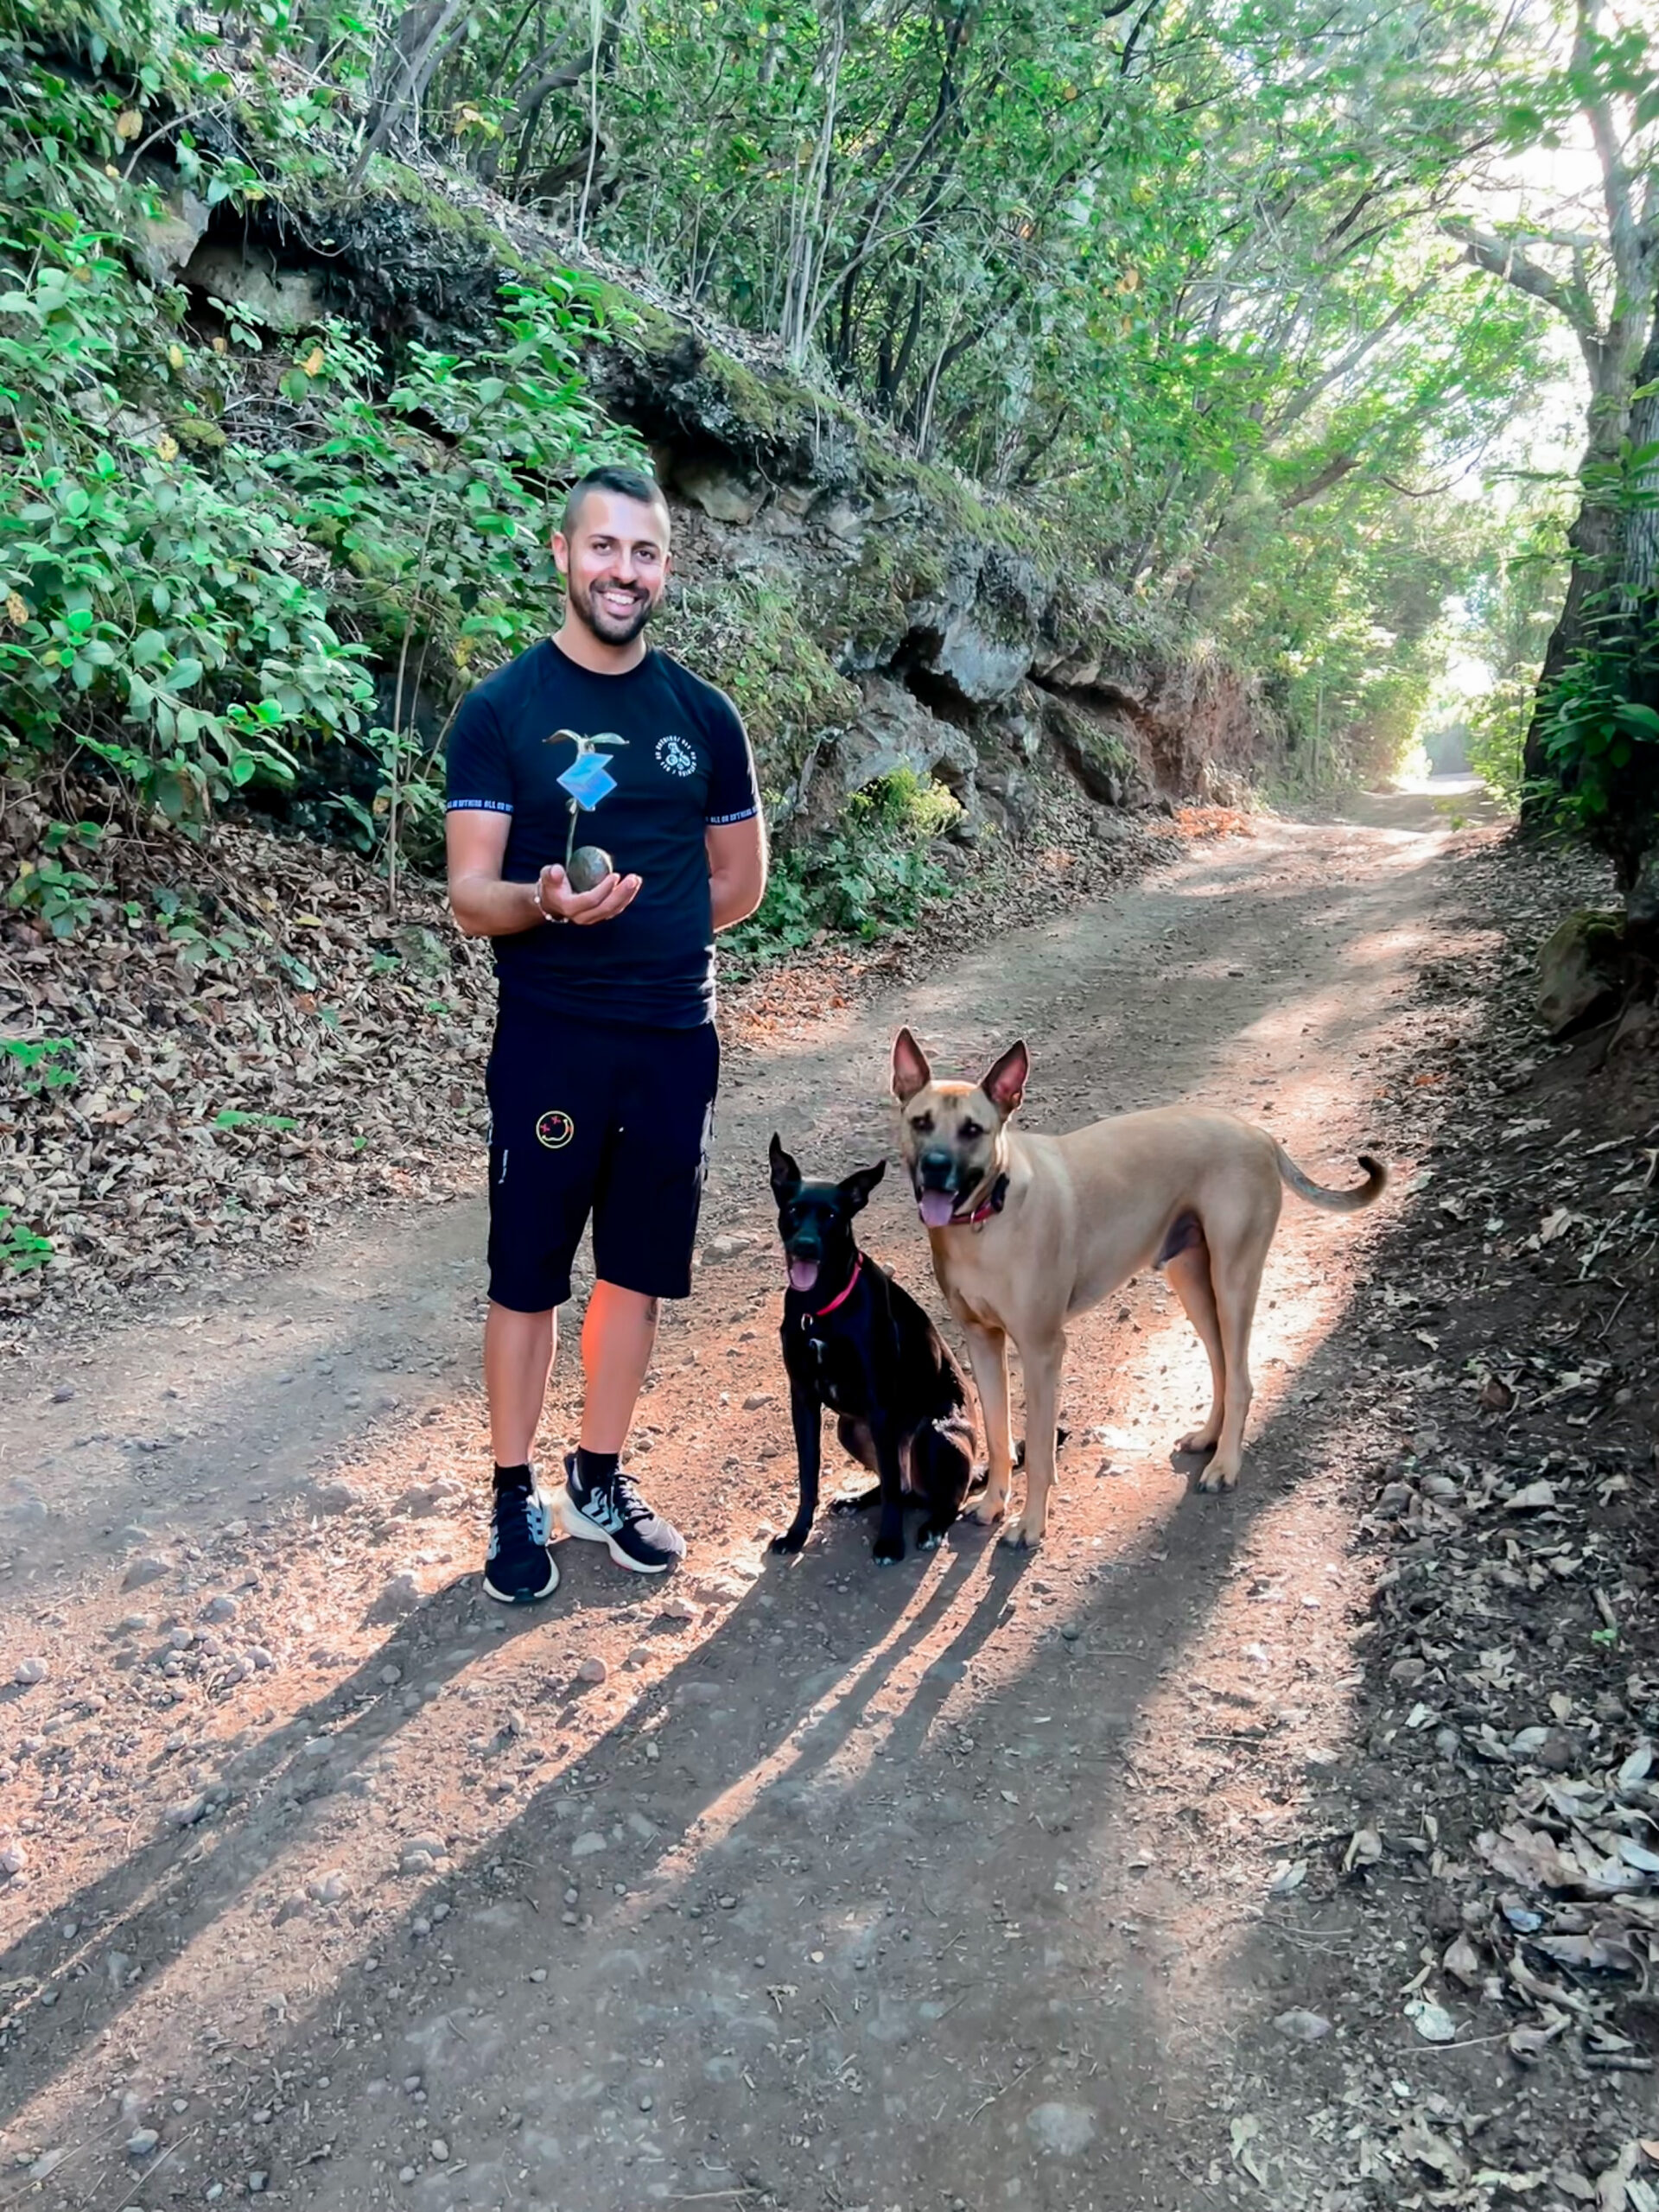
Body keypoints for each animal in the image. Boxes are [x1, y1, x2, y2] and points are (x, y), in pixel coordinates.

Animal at [774, 1132, 982, 1566]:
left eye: (832, 1216)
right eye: (794, 1210)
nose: (805, 1246)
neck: (821, 1306)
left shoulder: (880, 1404)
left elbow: (889, 1489)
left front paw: (889, 1543)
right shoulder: (802, 1399)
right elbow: (807, 1478)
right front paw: (796, 1534)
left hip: (934, 1435)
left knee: (939, 1496)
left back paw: (933, 1526)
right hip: (849, 1428)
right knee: (899, 1485)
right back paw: (857, 1500)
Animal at [898, 1026, 1389, 1548]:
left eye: (973, 1130)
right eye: (921, 1122)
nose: (935, 1165)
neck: (987, 1216)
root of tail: (1258, 1135)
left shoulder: (1041, 1349)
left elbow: (1041, 1453)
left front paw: (1031, 1523)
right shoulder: (983, 1342)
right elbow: (996, 1433)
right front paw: (993, 1502)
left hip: (1234, 1280)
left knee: (1240, 1379)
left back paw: (1225, 1465)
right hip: (1193, 1282)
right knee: (1221, 1367)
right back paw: (1209, 1438)